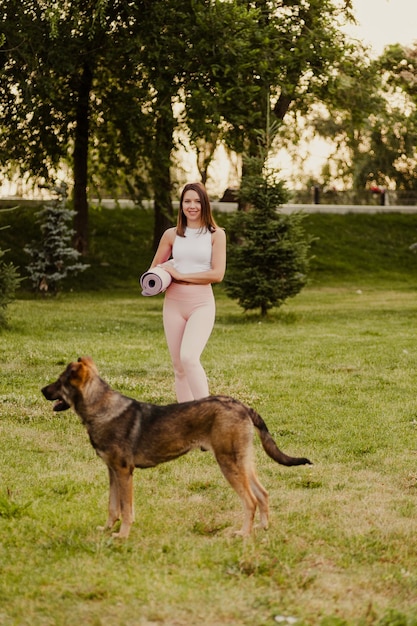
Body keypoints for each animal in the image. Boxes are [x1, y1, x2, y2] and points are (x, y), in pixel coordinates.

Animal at [42, 356, 310, 536]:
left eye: (59, 381)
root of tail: (242, 406)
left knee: (251, 501)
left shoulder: (124, 472)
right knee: (263, 494)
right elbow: (112, 507)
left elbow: (126, 510)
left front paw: (122, 536)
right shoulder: (112, 472)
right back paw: (263, 529)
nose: (41, 389)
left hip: (229, 464)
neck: (101, 409)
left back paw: (244, 534)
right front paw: (107, 530)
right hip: (243, 463)